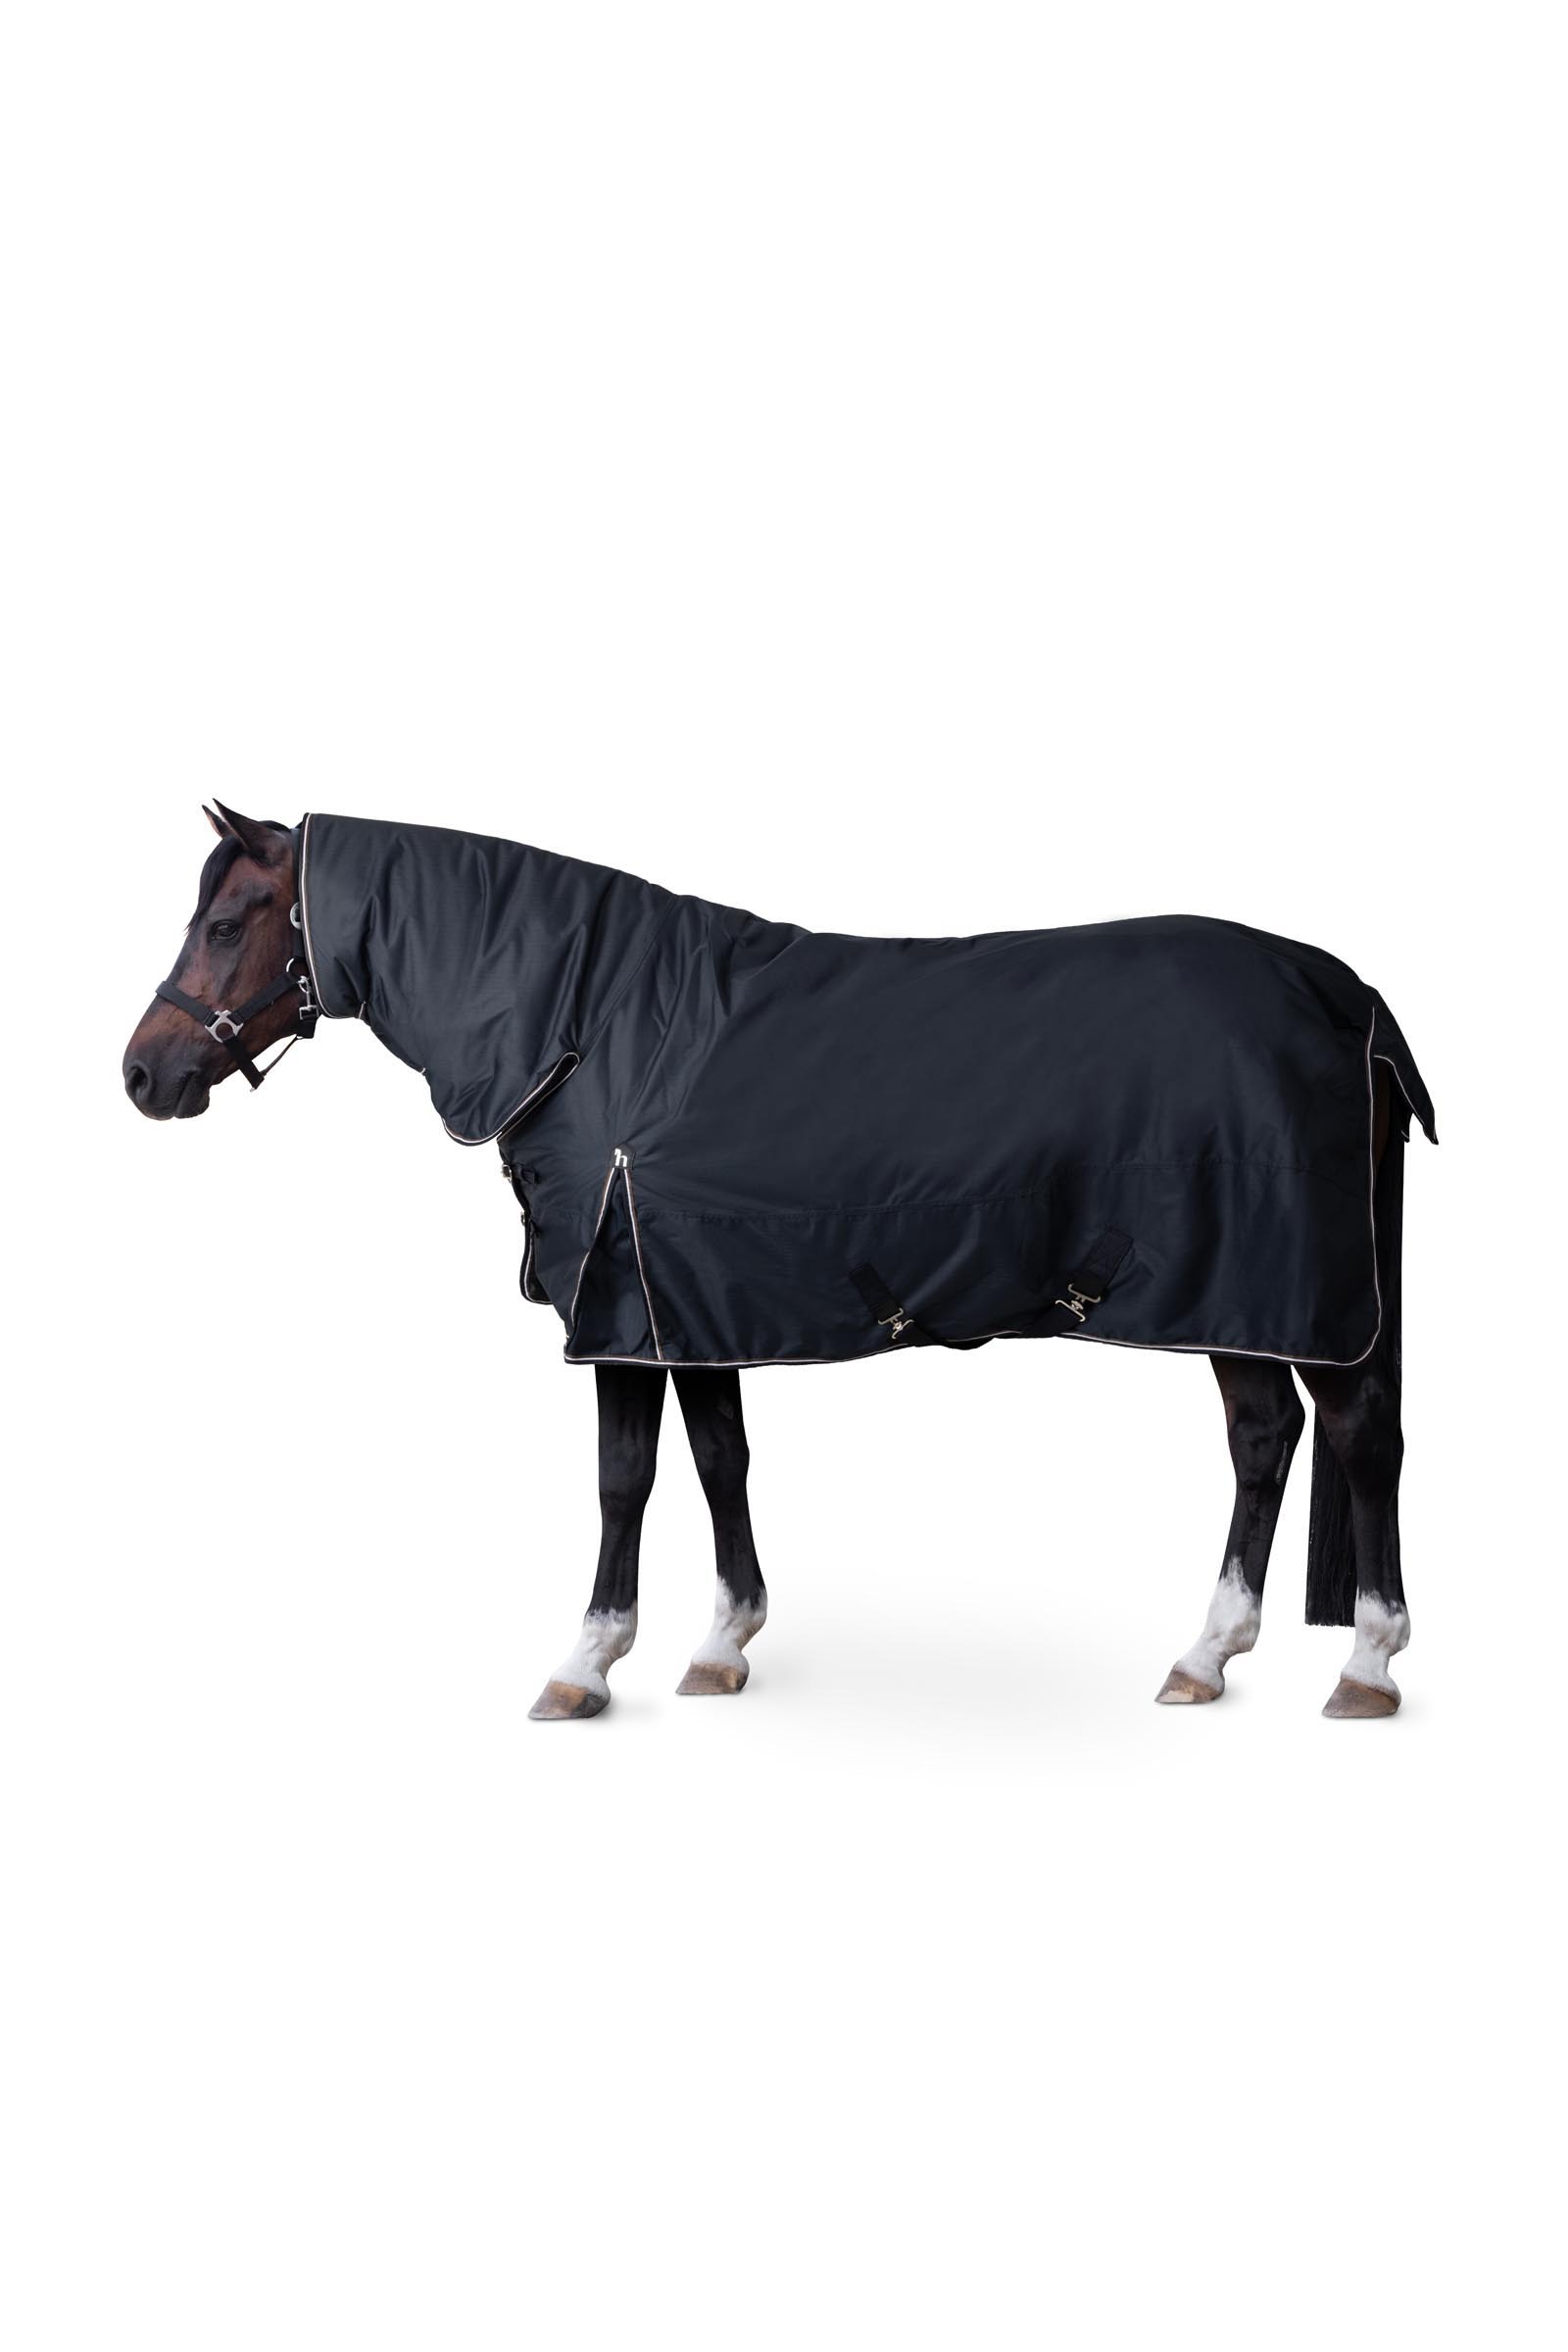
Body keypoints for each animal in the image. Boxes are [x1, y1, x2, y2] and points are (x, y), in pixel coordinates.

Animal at [123, 802, 1432, 1722]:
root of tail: (1347, 993)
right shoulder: (687, 1302)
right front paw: (721, 1645)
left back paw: (1365, 1664)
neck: (595, 1024)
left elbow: (624, 1477)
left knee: (1358, 1437)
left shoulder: (620, 1310)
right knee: (1265, 1440)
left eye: (227, 924)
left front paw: (587, 1663)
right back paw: (1207, 1654)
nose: (144, 1074)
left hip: (1288, 1289)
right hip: (1241, 1298)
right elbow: (720, 1462)